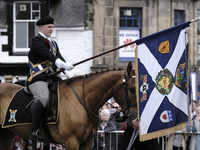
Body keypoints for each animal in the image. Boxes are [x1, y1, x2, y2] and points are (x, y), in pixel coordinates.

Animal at [0, 61, 137, 149]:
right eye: (132, 89)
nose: (135, 119)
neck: (83, 100)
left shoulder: (87, 142)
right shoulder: (72, 141)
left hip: (6, 134)